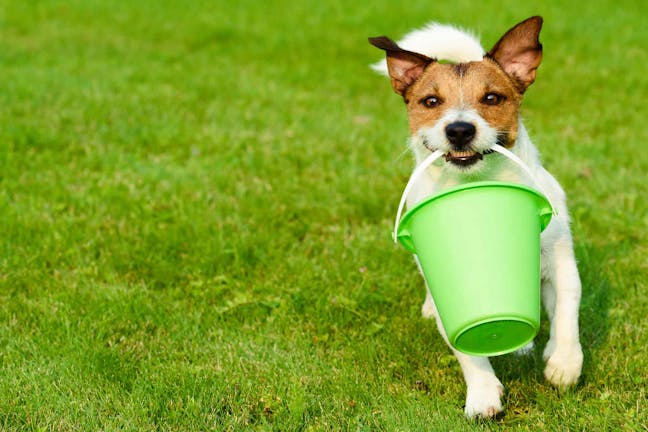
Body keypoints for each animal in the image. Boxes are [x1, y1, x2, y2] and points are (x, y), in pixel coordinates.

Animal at [372, 16, 584, 418]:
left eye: (491, 98)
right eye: (431, 101)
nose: (459, 129)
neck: (479, 186)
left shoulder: (560, 255)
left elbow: (567, 307)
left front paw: (565, 363)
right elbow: (467, 350)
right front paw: (483, 393)